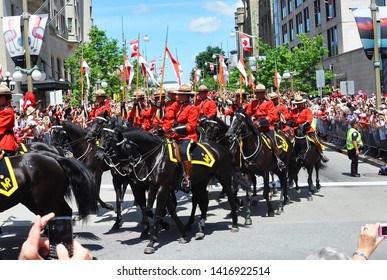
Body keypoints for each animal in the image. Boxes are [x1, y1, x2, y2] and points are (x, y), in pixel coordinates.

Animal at [92, 120, 241, 254]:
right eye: (100, 137)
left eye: (110, 139)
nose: (124, 169)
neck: (157, 156)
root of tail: (221, 148)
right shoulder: (154, 187)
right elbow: (153, 210)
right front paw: (182, 232)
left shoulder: (162, 187)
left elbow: (157, 213)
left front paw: (151, 242)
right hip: (201, 182)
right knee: (203, 202)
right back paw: (200, 229)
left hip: (223, 177)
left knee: (230, 197)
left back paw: (234, 224)